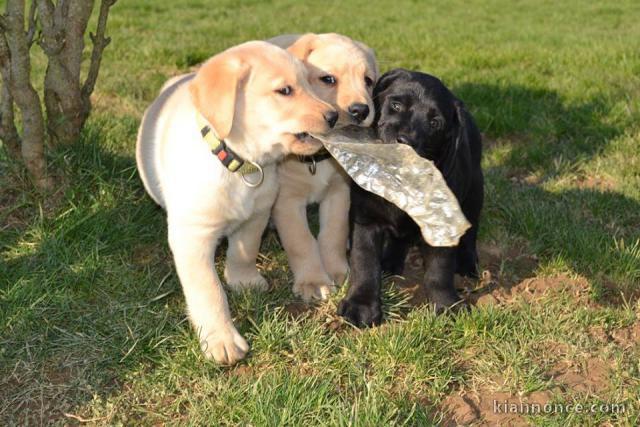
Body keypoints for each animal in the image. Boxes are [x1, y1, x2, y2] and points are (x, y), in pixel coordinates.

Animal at [134, 41, 336, 366]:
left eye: (309, 82)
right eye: (285, 90)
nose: (333, 117)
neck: (242, 164)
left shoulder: (257, 214)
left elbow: (245, 250)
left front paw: (242, 280)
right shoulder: (193, 237)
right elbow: (209, 290)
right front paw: (222, 340)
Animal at [268, 32, 378, 300]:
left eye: (368, 81)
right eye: (328, 79)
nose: (361, 110)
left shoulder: (339, 192)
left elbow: (333, 234)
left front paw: (338, 272)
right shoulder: (287, 200)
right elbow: (301, 241)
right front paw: (313, 281)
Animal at [338, 68, 482, 326]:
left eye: (435, 123)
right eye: (396, 105)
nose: (405, 141)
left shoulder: (441, 223)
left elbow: (439, 270)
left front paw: (446, 305)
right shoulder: (366, 219)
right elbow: (363, 262)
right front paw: (361, 305)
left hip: (475, 192)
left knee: (471, 231)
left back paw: (467, 264)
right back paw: (390, 261)